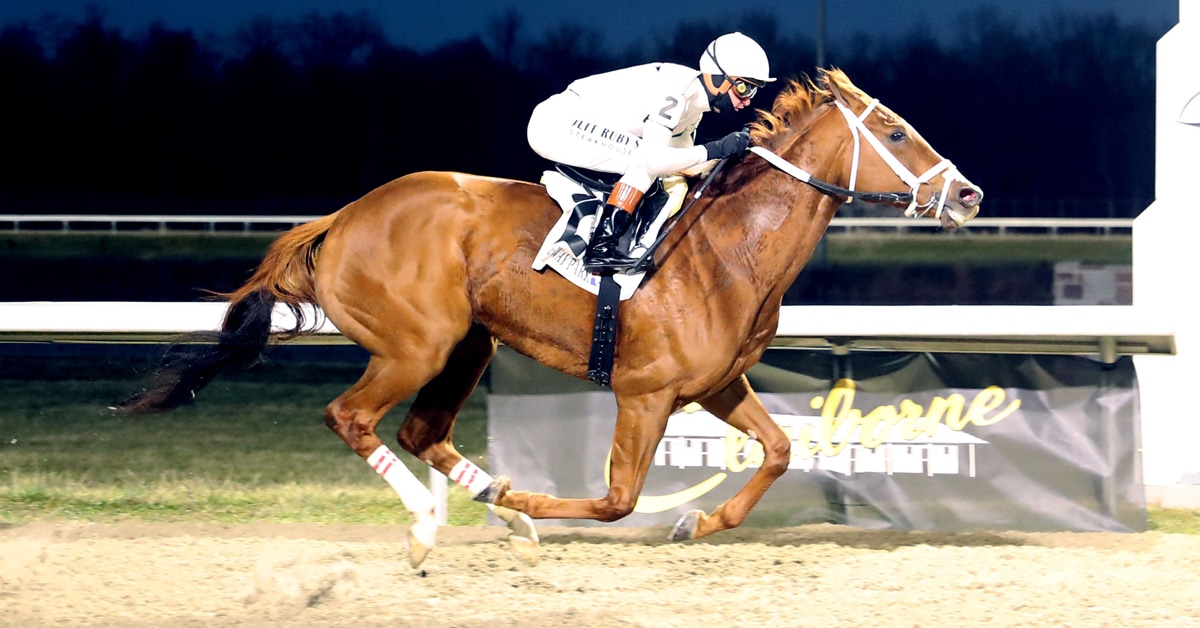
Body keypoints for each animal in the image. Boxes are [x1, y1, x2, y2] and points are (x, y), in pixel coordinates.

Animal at [118, 68, 983, 568]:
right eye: (896, 131)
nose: (970, 194)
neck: (729, 246)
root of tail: (342, 217)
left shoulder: (716, 384)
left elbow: (777, 450)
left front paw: (695, 524)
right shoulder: (645, 392)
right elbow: (617, 500)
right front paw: (529, 500)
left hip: (467, 344)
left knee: (420, 431)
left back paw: (497, 514)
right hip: (415, 346)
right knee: (352, 418)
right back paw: (435, 525)